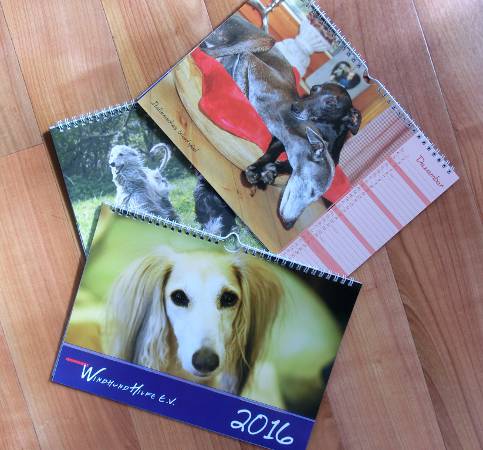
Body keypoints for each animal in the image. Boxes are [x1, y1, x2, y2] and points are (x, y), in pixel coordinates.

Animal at [200, 15, 361, 228]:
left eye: (331, 103)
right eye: (313, 89)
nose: (296, 107)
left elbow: (282, 162)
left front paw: (268, 172)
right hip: (263, 41)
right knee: (208, 51)